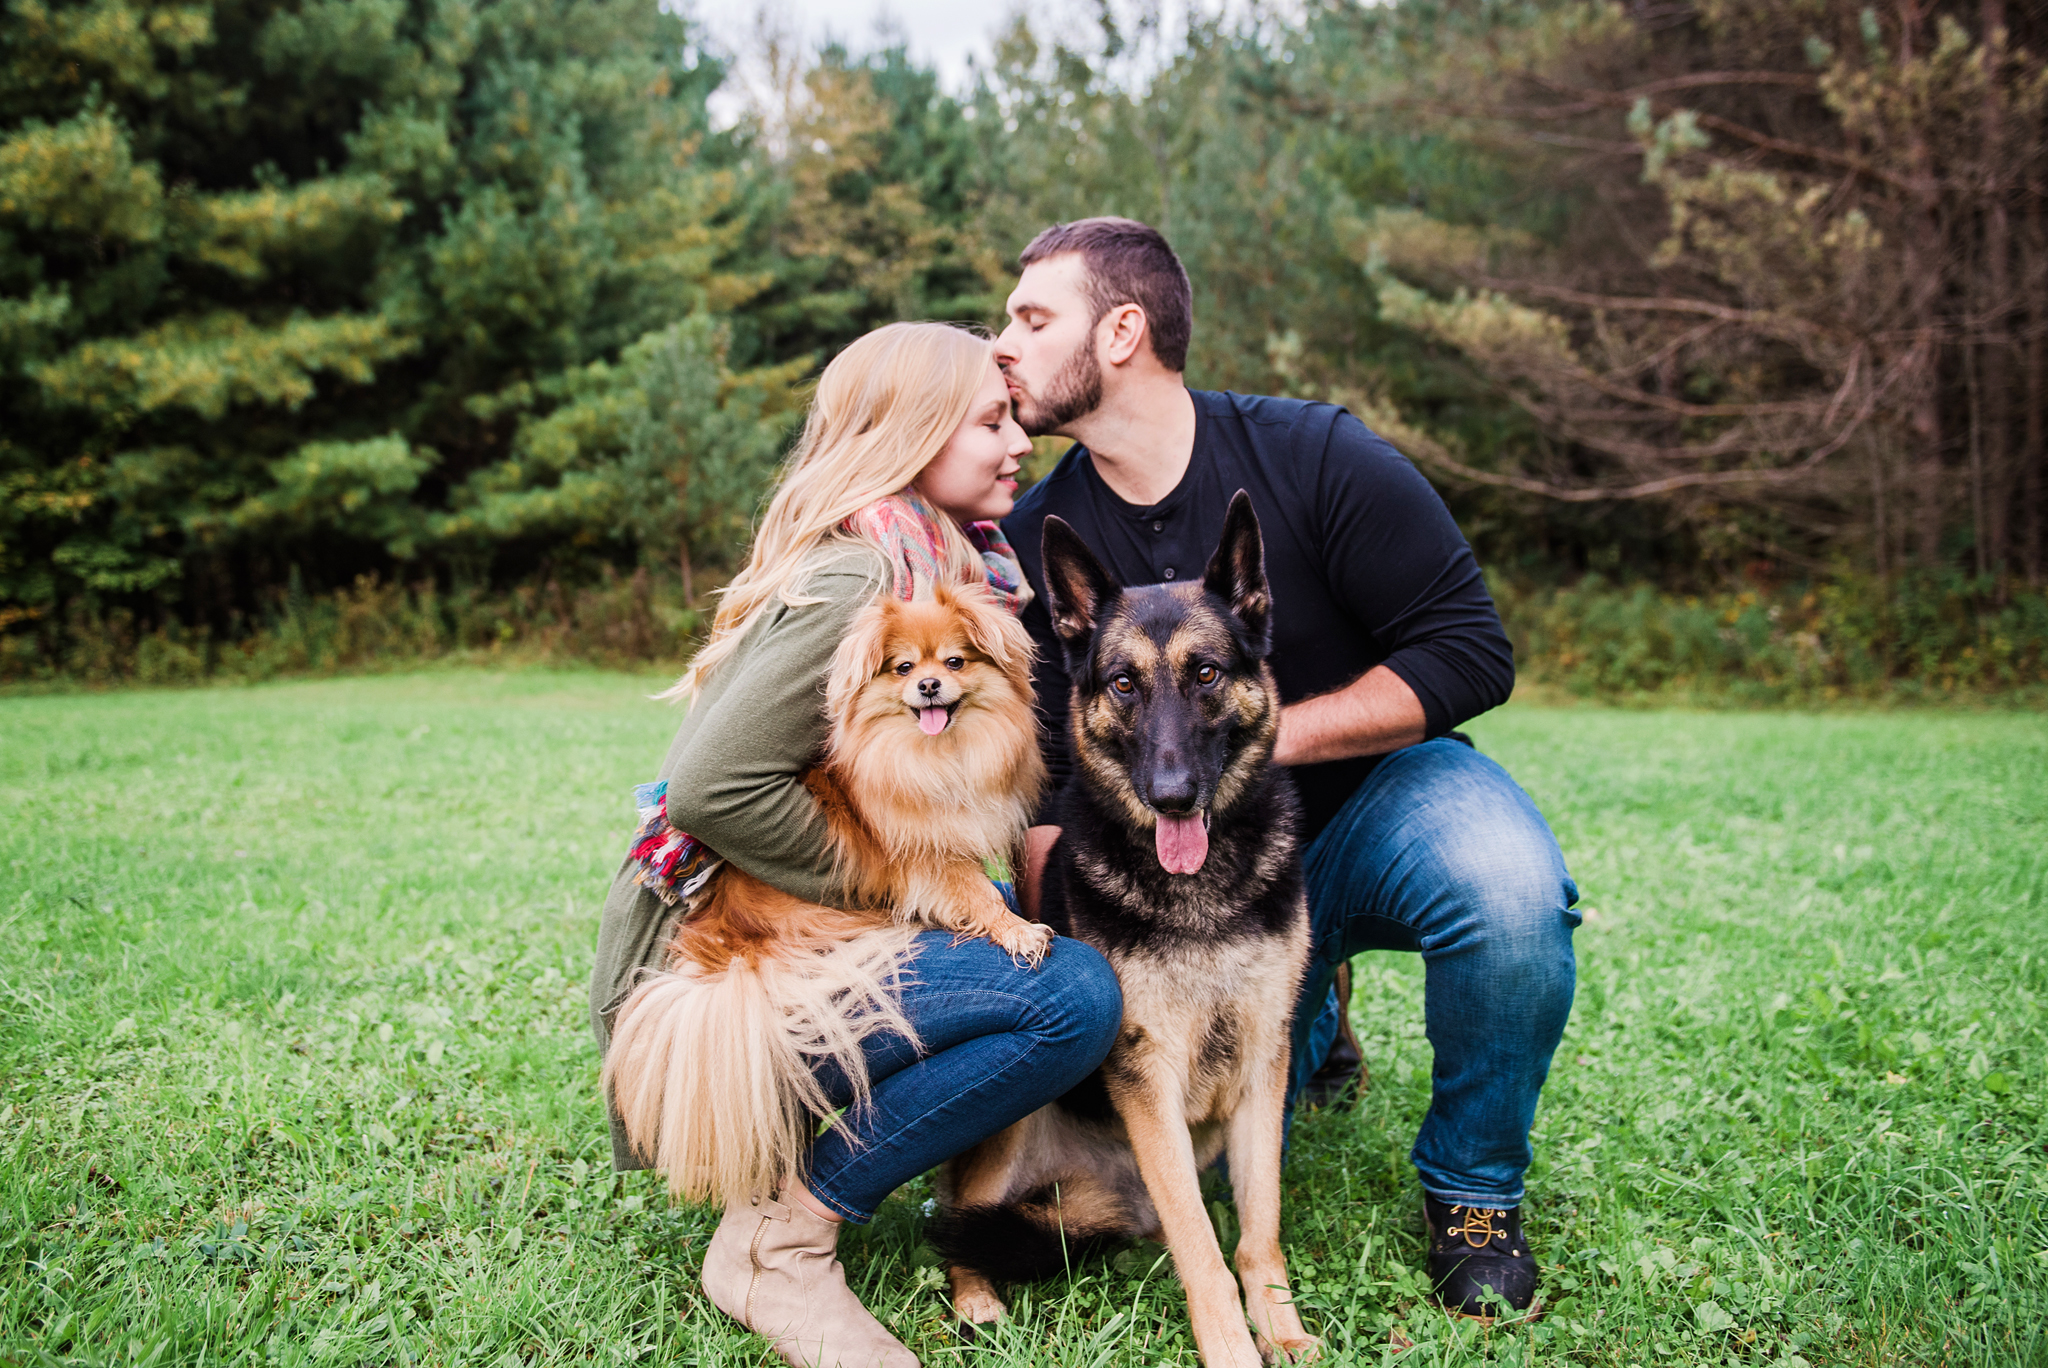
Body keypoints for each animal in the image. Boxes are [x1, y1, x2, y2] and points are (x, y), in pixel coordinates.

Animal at [937, 493, 1318, 1368]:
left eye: (1206, 674)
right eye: (1122, 684)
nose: (1173, 796)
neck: (1201, 894)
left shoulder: (1263, 1062)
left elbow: (1257, 1233)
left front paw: (1280, 1329)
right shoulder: (1150, 1076)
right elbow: (1203, 1249)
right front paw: (1233, 1349)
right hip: (1014, 1124)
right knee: (961, 1221)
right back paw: (976, 1296)